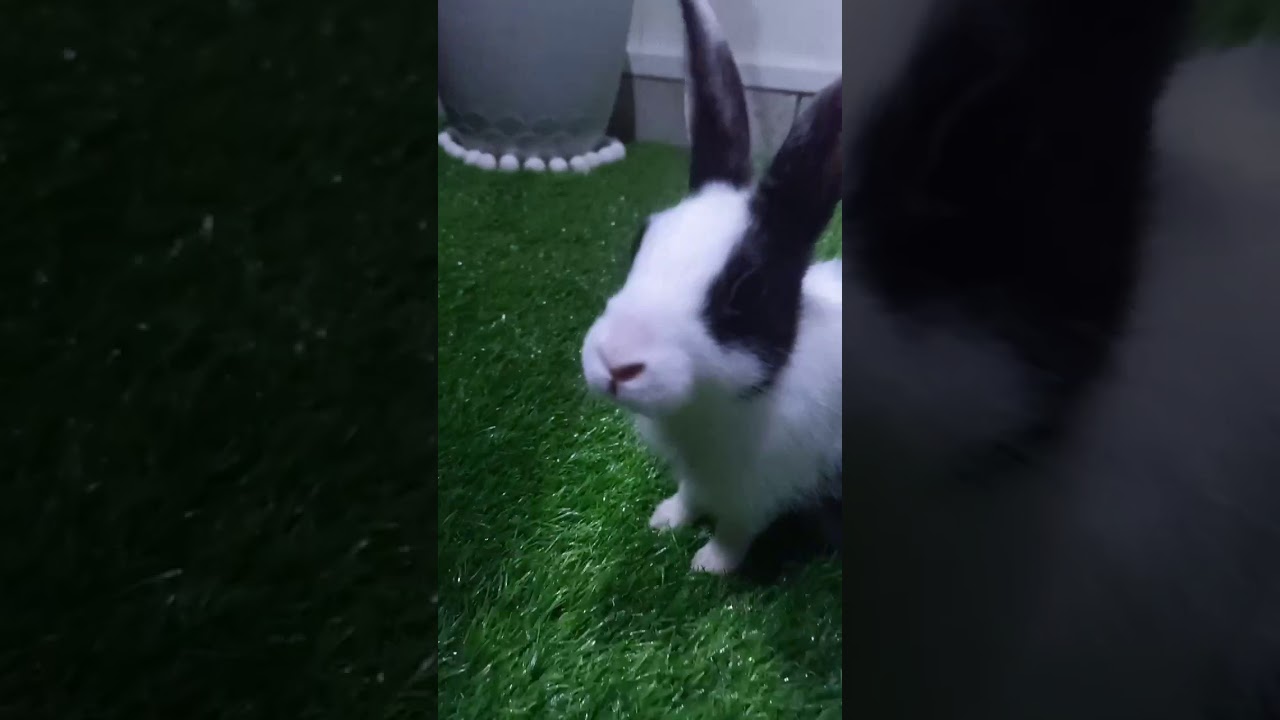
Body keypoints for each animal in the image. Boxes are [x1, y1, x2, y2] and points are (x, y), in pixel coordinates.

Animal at [579, 0, 843, 576]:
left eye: (744, 291)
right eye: (641, 239)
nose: (615, 363)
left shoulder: (760, 491)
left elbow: (736, 529)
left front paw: (709, 566)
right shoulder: (697, 473)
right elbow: (690, 494)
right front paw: (665, 519)